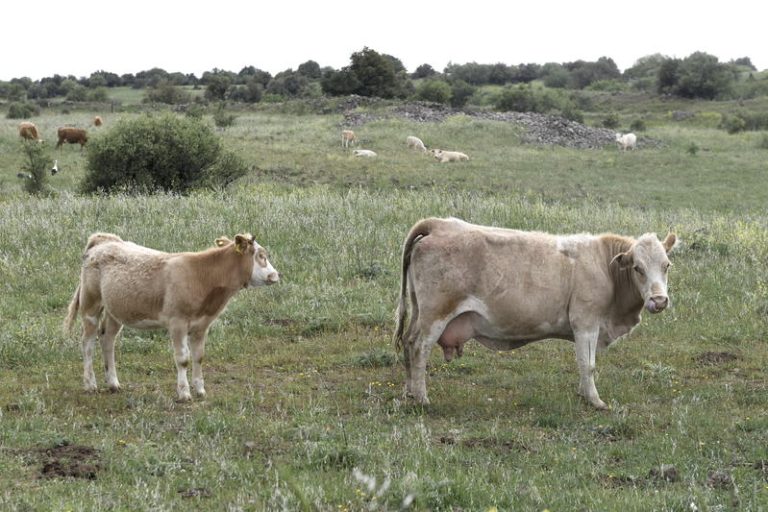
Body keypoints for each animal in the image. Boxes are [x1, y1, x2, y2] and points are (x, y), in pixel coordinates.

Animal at [64, 232, 279, 401]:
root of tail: (104, 239)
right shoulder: (178, 322)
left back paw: (114, 383)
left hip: (115, 311)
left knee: (107, 339)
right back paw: (90, 384)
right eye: (261, 256)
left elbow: (199, 356)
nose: (275, 275)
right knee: (88, 343)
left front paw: (200, 390)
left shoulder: (202, 325)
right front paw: (184, 393)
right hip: (91, 304)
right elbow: (183, 359)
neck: (202, 275)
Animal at [394, 217, 677, 410]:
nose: (659, 300)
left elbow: (584, 362)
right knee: (419, 347)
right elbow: (588, 364)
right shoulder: (586, 322)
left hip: (419, 311)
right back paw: (422, 398)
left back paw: (409, 391)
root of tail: (439, 224)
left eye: (667, 265)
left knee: (407, 342)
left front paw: (583, 394)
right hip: (435, 314)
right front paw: (595, 401)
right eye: (638, 268)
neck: (604, 267)